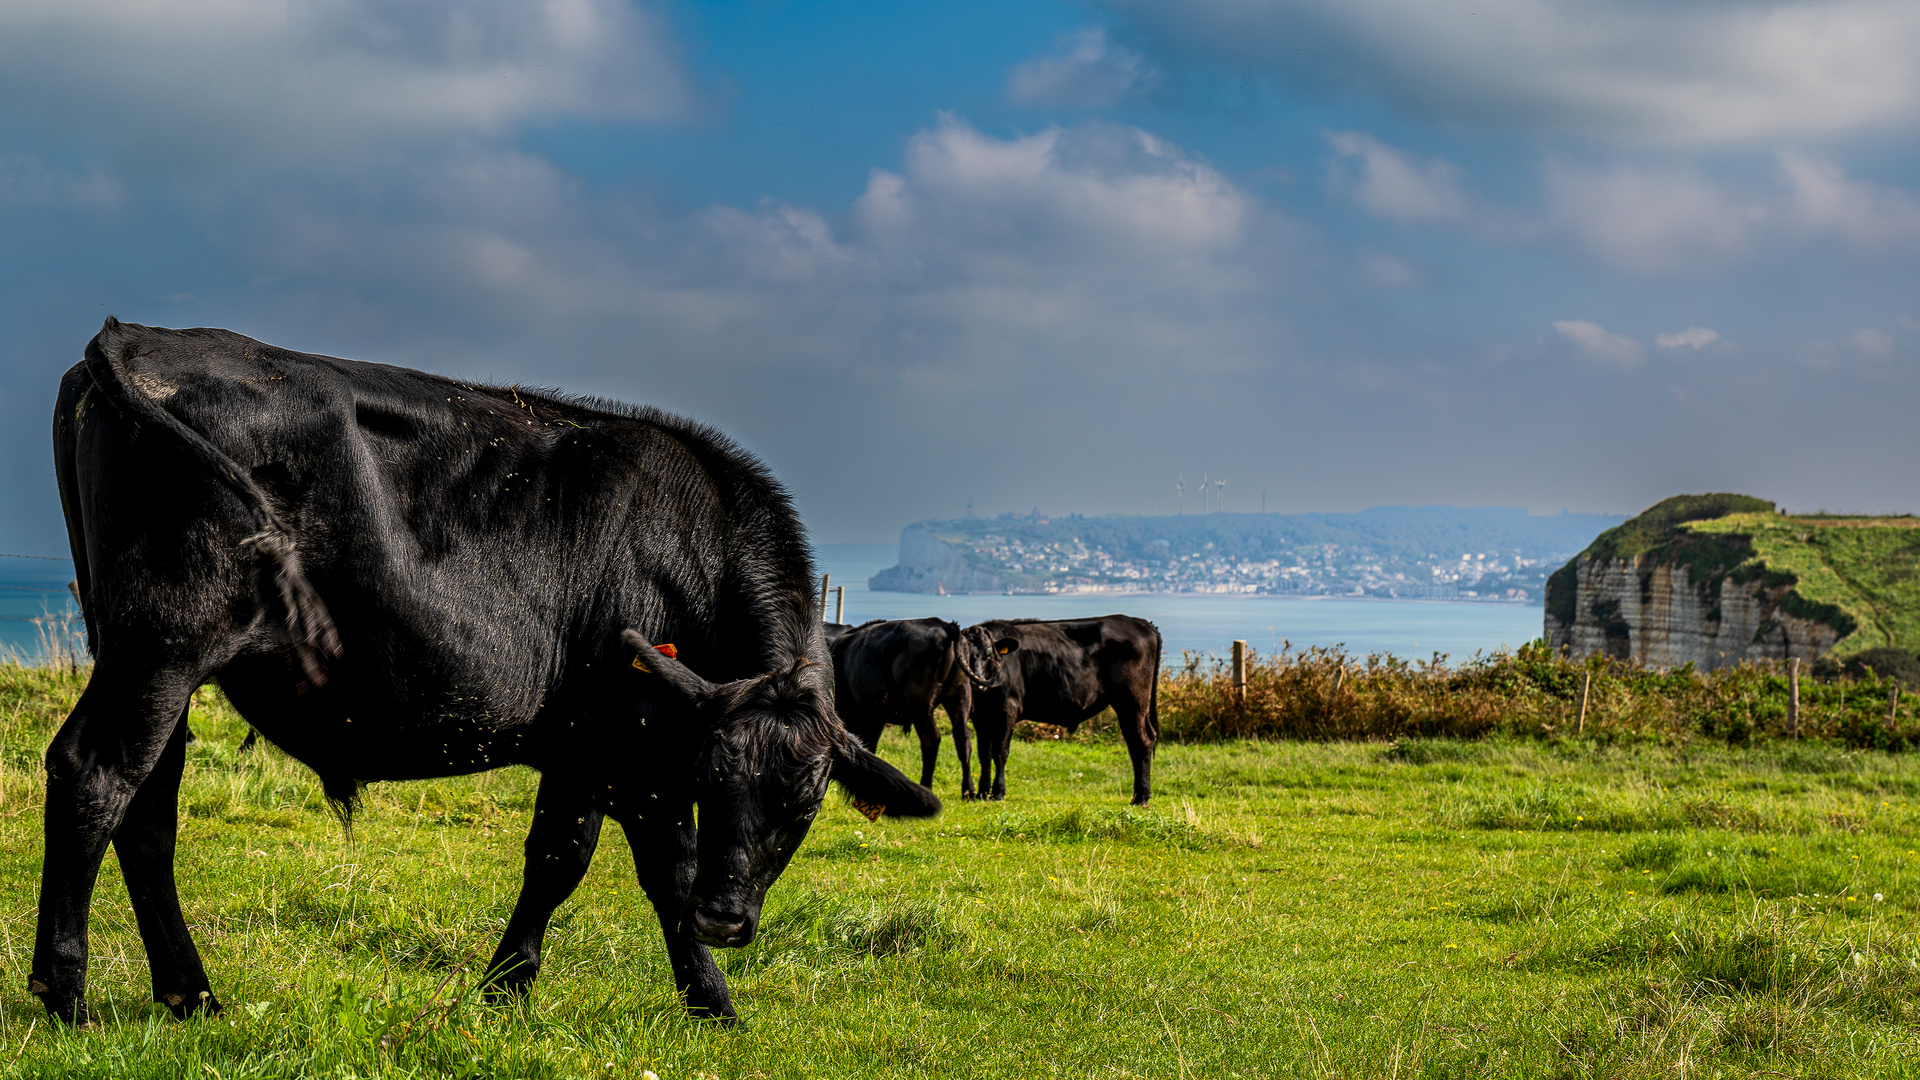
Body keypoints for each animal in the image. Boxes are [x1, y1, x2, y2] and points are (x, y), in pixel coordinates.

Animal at [28, 319, 929, 1022]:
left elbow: (565, 860)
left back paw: (191, 995)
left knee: (149, 806)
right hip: (163, 643)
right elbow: (627, 865)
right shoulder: (620, 740)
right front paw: (701, 998)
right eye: (715, 777)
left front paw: (513, 985)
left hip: (146, 655)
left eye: (805, 800)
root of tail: (140, 336)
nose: (726, 920)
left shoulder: (600, 747)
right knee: (95, 778)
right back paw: (66, 994)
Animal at [967, 614, 1159, 799]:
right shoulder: (980, 716)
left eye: (989, 655)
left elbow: (1000, 752)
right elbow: (984, 753)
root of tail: (1141, 623)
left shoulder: (1008, 709)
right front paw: (982, 793)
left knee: (1140, 742)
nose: (977, 681)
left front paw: (998, 792)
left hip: (1132, 702)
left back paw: (1140, 797)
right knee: (1146, 738)